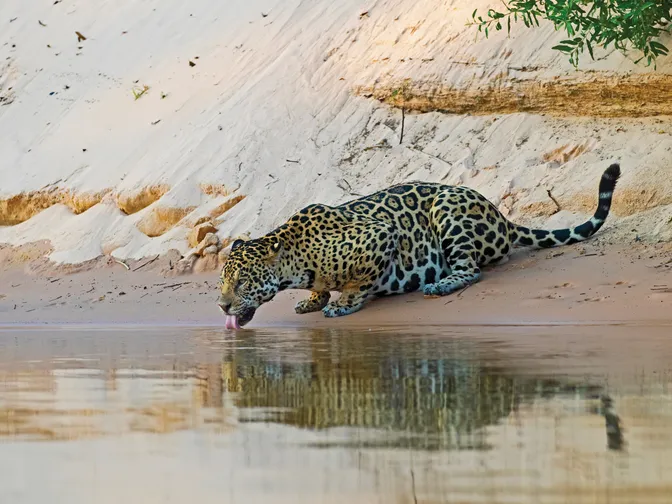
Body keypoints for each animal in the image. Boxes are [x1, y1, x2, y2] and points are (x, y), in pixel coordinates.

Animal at [217, 163, 620, 328]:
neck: (295, 255)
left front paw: (344, 303)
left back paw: (440, 285)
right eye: (222, 283)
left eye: (242, 283)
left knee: (470, 269)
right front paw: (313, 301)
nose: (221, 306)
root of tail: (501, 216)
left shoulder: (380, 235)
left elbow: (360, 281)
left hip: (447, 209)